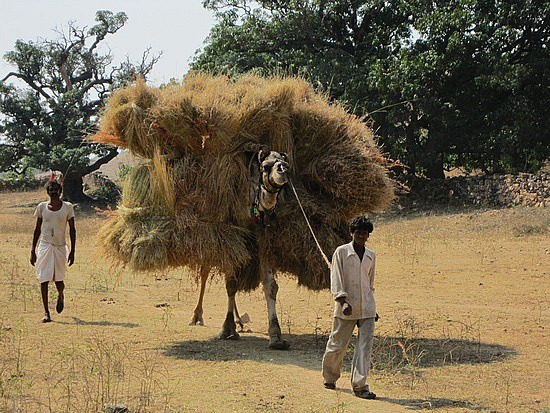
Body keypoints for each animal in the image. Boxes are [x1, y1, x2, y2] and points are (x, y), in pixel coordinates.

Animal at [190, 145, 294, 348]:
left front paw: (276, 336)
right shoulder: (232, 233)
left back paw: (240, 321)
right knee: (206, 269)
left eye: (285, 162)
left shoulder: (263, 235)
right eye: (265, 166)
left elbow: (270, 285)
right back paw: (197, 316)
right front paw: (226, 329)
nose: (283, 170)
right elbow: (231, 283)